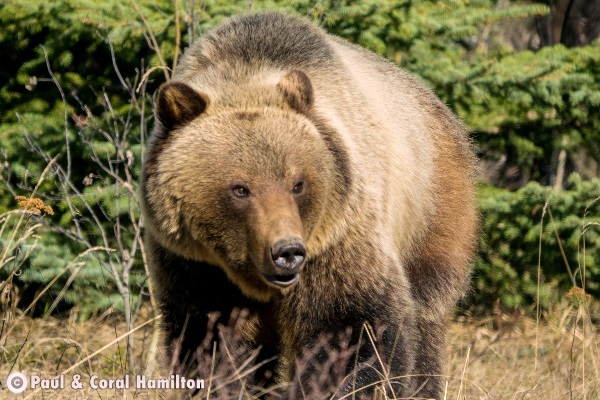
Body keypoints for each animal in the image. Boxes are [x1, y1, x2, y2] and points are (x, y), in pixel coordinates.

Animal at [141, 10, 478, 398]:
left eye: (297, 184)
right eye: (240, 189)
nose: (287, 251)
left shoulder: (337, 240)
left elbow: (350, 326)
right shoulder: (195, 263)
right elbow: (209, 336)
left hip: (431, 206)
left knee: (425, 311)